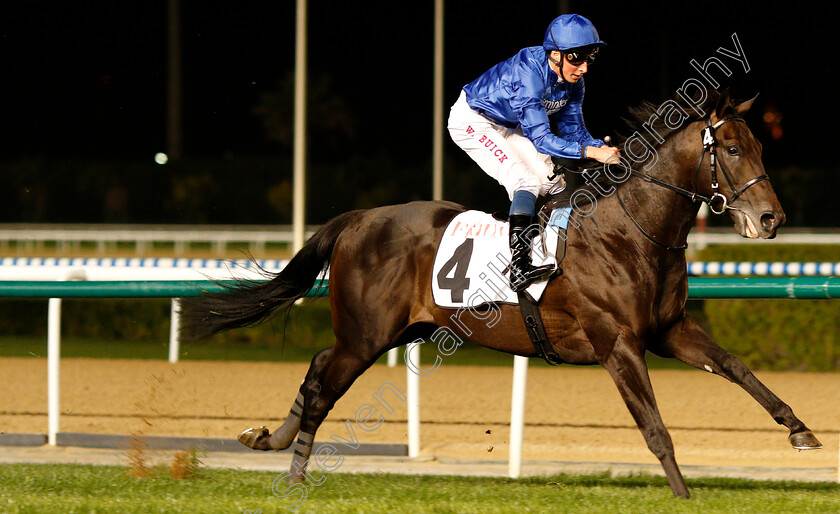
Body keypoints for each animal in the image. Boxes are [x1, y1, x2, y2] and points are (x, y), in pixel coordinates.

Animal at [182, 91, 820, 496]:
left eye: (761, 145)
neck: (631, 229)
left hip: (384, 331)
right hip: (366, 335)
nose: (772, 219)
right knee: (323, 383)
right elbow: (655, 426)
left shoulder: (669, 331)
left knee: (316, 366)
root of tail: (360, 218)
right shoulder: (617, 344)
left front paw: (800, 430)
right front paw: (684, 493)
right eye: (732, 149)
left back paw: (270, 440)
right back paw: (293, 472)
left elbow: (736, 368)